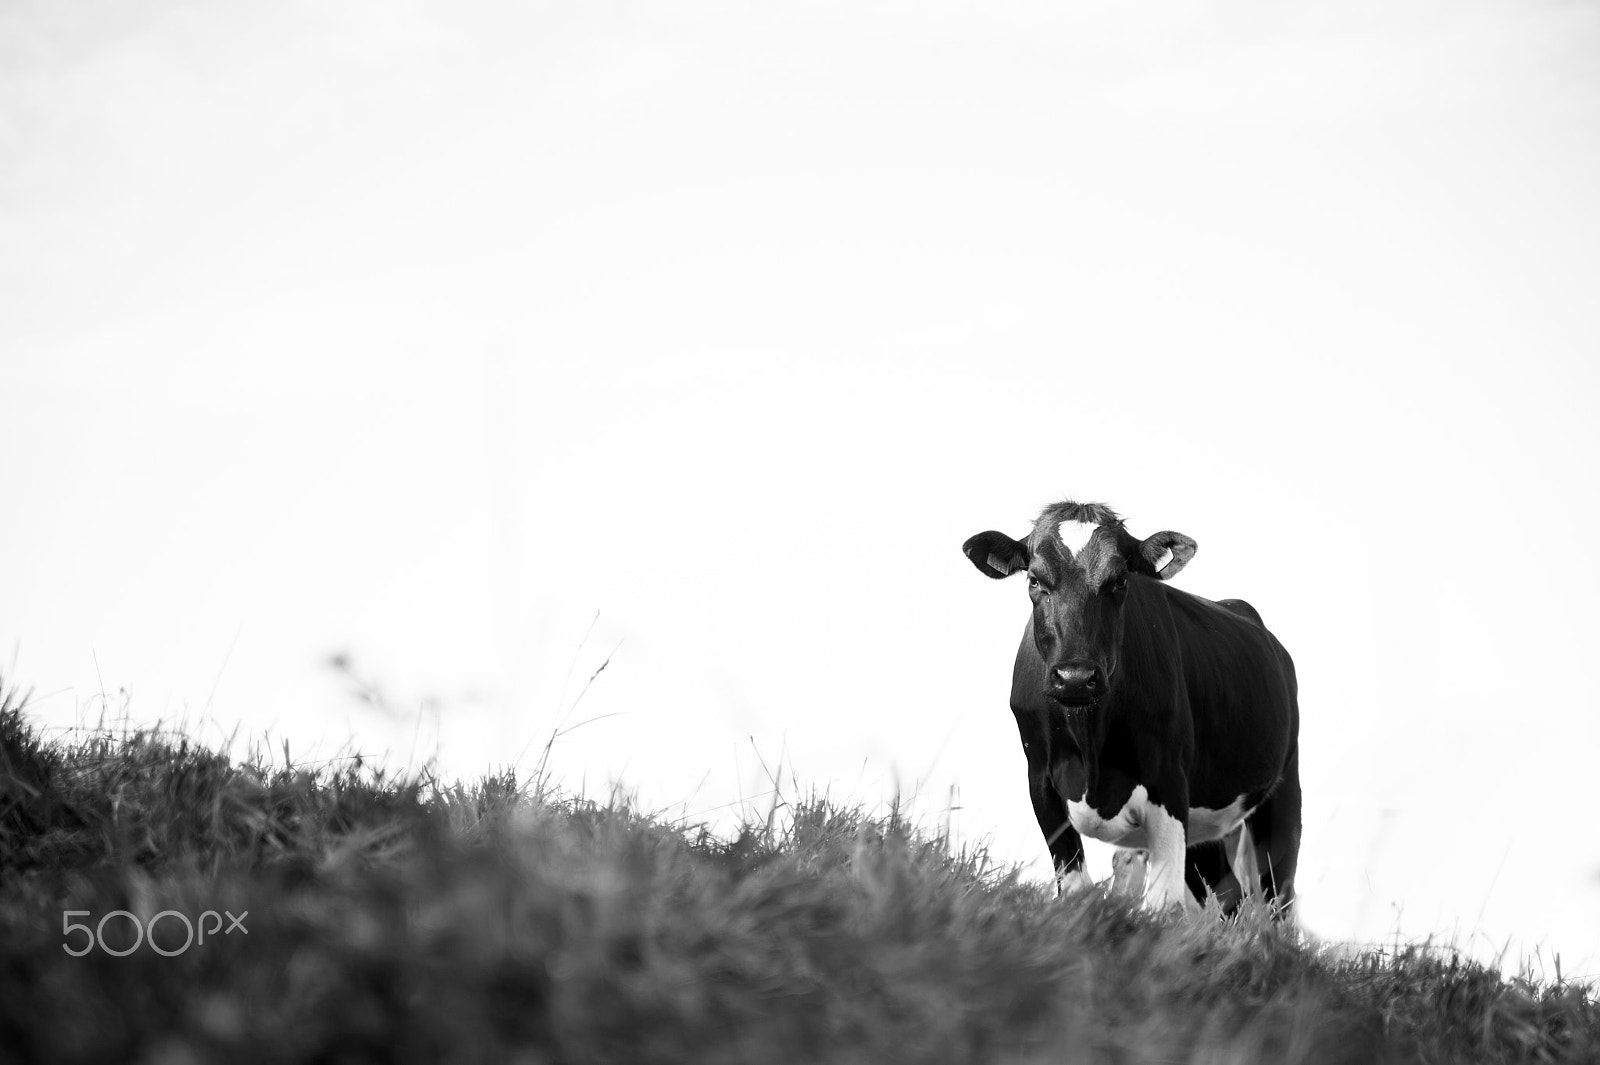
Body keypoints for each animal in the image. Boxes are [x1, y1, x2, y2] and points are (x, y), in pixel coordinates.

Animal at [963, 501, 1300, 915]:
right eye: (1035, 581)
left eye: (1120, 581)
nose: (1076, 677)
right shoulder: (1040, 781)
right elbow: (1074, 887)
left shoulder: (1169, 786)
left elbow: (1162, 905)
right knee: (1229, 895)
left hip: (1283, 794)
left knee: (1276, 898)